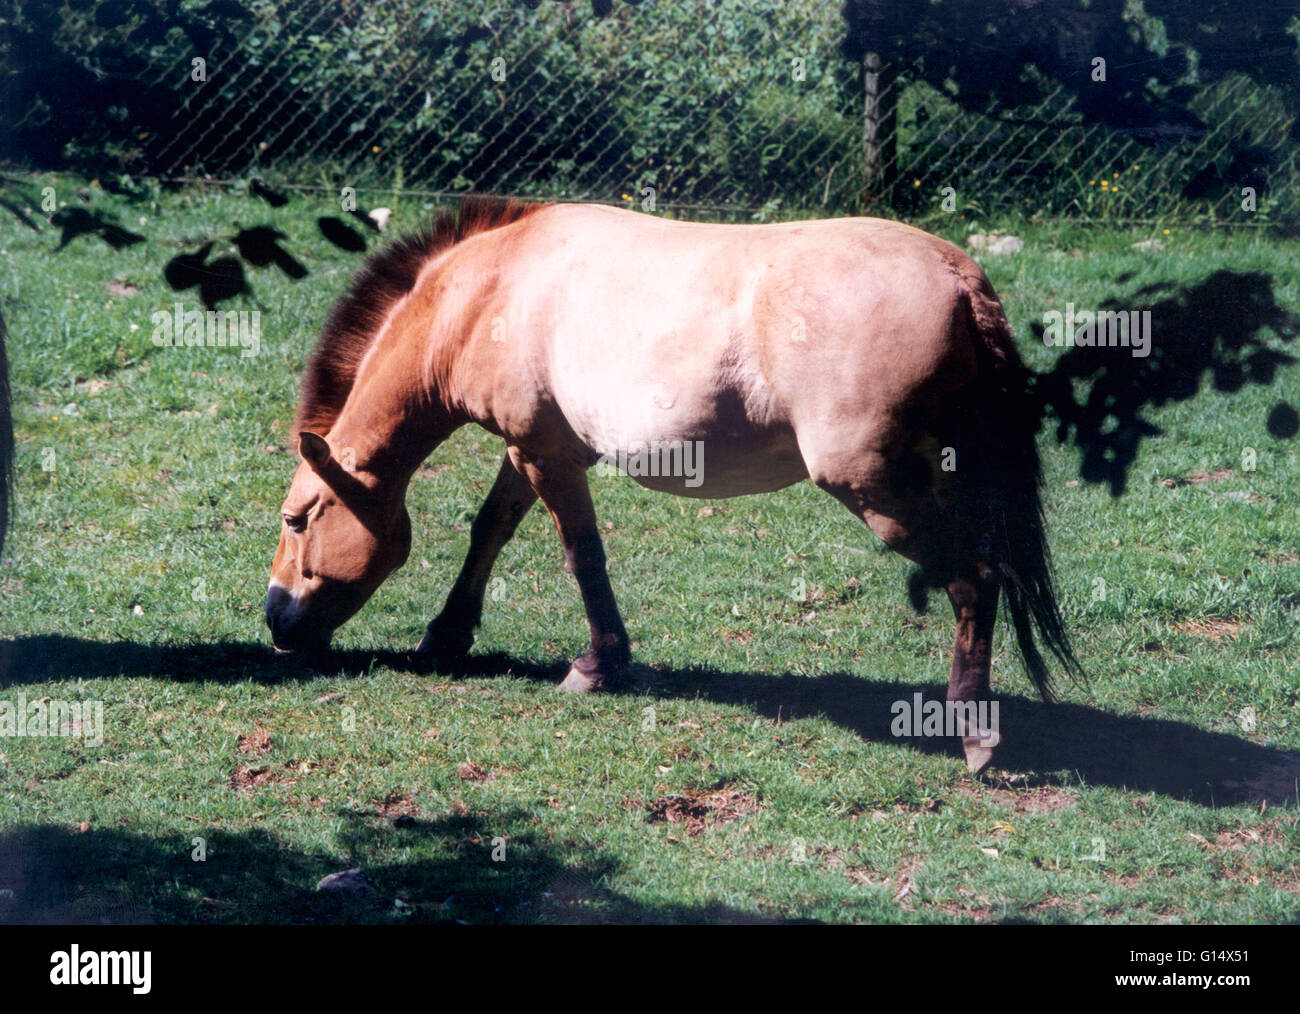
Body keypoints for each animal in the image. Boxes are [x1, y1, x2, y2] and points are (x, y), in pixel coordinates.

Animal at [263, 193, 1076, 774]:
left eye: (298, 519)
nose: (276, 623)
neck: (487, 292)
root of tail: (958, 278)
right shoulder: (533, 449)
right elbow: (489, 530)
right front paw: (446, 635)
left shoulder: (547, 456)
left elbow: (582, 554)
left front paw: (599, 664)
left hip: (878, 489)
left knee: (975, 579)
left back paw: (971, 730)